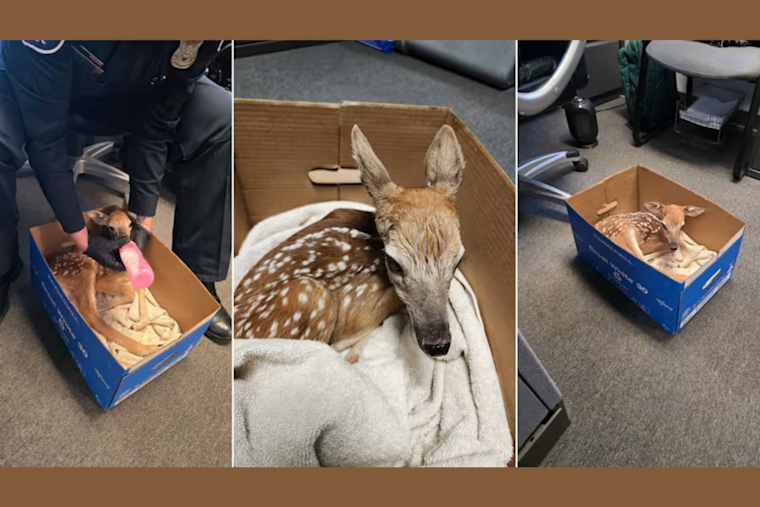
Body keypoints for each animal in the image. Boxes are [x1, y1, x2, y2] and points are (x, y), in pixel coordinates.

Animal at [49, 209, 157, 357]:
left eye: (130, 224)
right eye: (111, 227)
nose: (125, 240)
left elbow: (141, 296)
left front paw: (137, 325)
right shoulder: (101, 279)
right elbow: (130, 293)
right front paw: (105, 305)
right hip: (84, 269)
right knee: (91, 315)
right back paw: (148, 348)